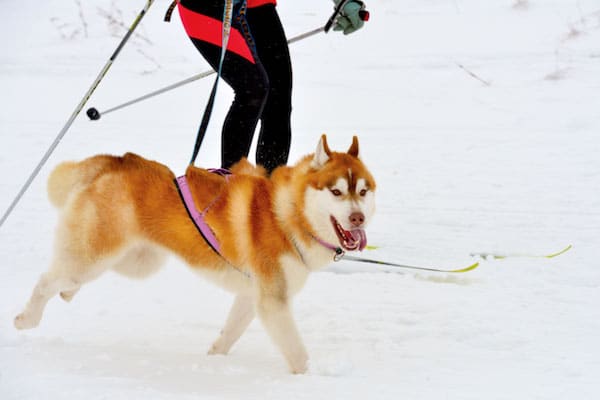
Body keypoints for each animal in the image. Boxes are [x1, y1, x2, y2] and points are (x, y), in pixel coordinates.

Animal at [14, 136, 376, 374]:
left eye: (362, 191)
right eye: (336, 191)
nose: (358, 218)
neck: (288, 213)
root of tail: (113, 160)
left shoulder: (254, 295)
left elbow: (230, 331)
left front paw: (213, 357)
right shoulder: (273, 300)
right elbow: (297, 353)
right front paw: (310, 378)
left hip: (137, 261)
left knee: (67, 277)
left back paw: (67, 293)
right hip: (97, 255)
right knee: (47, 280)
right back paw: (27, 318)